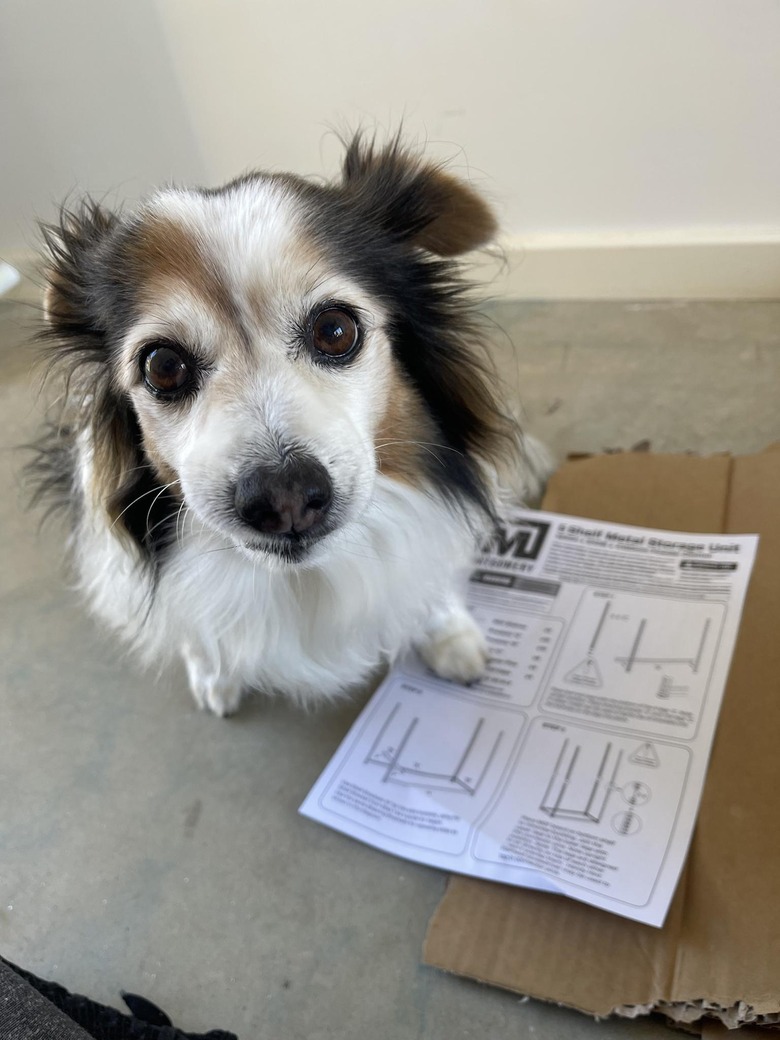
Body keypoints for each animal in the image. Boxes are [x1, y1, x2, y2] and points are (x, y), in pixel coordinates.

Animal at [28, 134, 549, 715]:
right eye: (162, 365)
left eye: (335, 329)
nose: (286, 498)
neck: (302, 580)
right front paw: (213, 670)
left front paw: (449, 634)